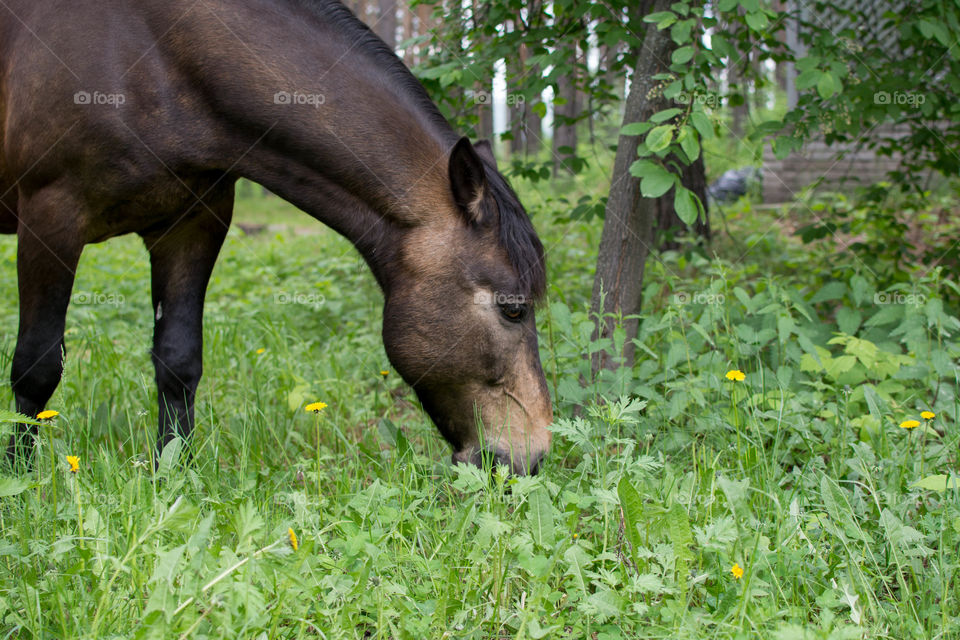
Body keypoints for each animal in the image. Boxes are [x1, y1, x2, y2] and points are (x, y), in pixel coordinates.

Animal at [0, 0, 552, 470]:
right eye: (512, 309)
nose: (531, 457)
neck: (151, 55)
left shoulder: (192, 225)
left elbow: (178, 360)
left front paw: (173, 473)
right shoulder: (51, 216)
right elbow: (37, 364)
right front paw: (20, 479)